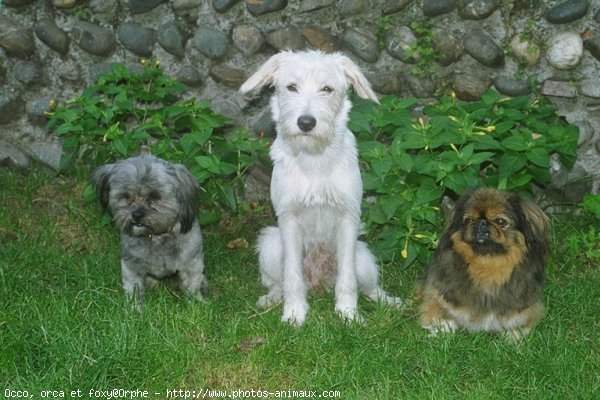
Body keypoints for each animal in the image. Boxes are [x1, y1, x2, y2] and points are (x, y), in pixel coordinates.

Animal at [92, 154, 209, 310]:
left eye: (155, 196)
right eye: (127, 196)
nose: (136, 215)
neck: (156, 236)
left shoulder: (191, 262)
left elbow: (192, 285)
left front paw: (196, 304)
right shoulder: (131, 266)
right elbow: (133, 289)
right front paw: (135, 309)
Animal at [240, 50, 404, 324]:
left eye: (327, 88)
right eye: (291, 87)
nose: (306, 123)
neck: (313, 158)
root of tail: (318, 284)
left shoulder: (348, 218)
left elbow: (347, 279)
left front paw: (348, 314)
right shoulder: (289, 220)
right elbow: (292, 276)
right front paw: (294, 314)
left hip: (363, 259)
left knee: (370, 287)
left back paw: (389, 301)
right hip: (270, 245)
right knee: (278, 283)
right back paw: (271, 299)